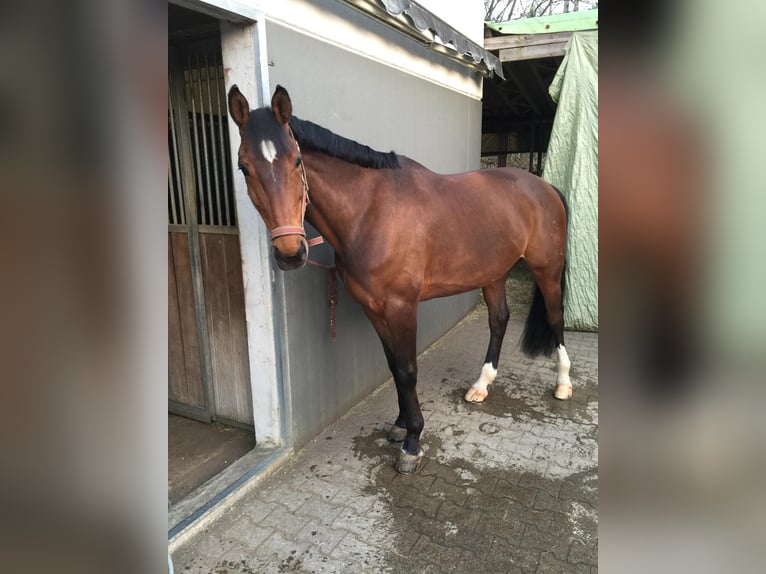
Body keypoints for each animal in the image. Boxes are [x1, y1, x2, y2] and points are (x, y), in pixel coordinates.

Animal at [228, 85, 572, 474]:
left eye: (296, 161)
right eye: (244, 167)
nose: (290, 253)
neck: (370, 211)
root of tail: (545, 188)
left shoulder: (402, 307)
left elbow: (407, 370)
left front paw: (412, 442)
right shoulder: (374, 308)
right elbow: (394, 366)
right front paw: (400, 424)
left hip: (547, 270)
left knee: (555, 317)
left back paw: (563, 384)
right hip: (494, 273)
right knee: (499, 320)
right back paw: (481, 385)